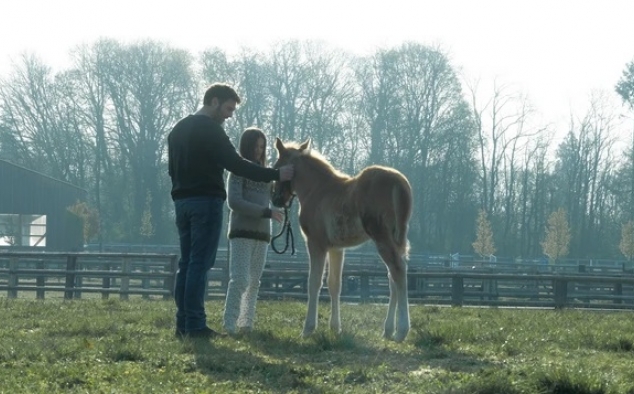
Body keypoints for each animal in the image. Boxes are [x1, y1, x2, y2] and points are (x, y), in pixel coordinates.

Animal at [270, 139, 410, 342]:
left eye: (276, 168)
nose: (276, 200)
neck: (316, 190)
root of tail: (399, 182)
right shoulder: (336, 248)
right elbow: (334, 284)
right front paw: (335, 328)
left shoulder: (316, 243)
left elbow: (314, 283)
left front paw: (308, 329)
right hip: (396, 239)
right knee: (392, 277)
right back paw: (388, 330)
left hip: (382, 237)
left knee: (398, 271)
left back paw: (401, 331)